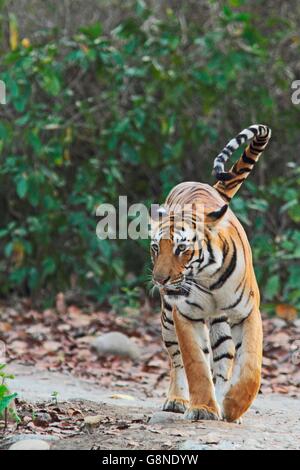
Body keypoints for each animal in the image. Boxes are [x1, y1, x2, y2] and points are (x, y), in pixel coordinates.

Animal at [151, 124, 270, 422]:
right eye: (156, 248)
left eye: (182, 248)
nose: (159, 280)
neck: (208, 278)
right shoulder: (184, 314)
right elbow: (195, 363)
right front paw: (203, 408)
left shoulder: (247, 313)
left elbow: (251, 366)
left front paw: (233, 407)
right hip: (167, 317)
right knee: (177, 360)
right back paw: (178, 400)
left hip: (221, 324)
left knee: (223, 359)